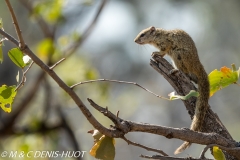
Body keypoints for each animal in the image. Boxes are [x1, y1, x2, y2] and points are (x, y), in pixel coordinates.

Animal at [134, 26, 209, 154]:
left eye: (143, 34)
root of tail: (198, 65)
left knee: (185, 72)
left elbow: (164, 50)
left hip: (178, 54)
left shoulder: (167, 43)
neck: (158, 36)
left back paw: (174, 71)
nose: (135, 41)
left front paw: (156, 53)